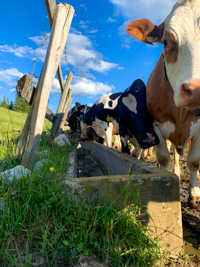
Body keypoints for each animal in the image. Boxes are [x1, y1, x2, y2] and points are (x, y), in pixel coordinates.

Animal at [126, 0, 200, 207]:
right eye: (165, 42)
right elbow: (164, 158)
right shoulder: (155, 125)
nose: (197, 89)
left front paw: (194, 194)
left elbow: (194, 161)